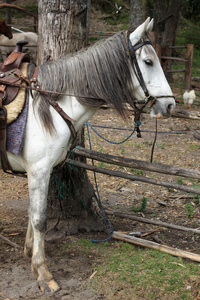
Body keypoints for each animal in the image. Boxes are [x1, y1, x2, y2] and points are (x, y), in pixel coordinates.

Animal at [0, 17, 175, 292]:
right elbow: (39, 218)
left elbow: (31, 212)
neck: (52, 103)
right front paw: (43, 273)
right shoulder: (39, 170)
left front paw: (30, 252)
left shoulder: (37, 173)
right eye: (148, 61)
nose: (170, 105)